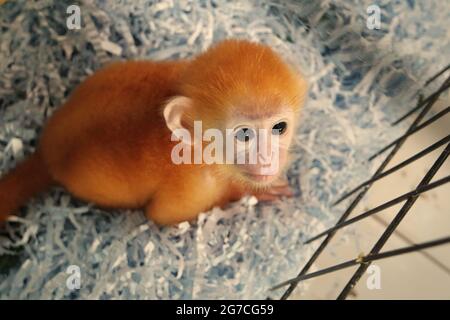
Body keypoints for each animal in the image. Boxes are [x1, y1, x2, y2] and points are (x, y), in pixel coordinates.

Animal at [0, 39, 308, 225]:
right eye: (244, 134)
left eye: (279, 128)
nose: (268, 158)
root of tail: (47, 151)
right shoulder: (194, 184)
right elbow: (164, 216)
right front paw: (246, 192)